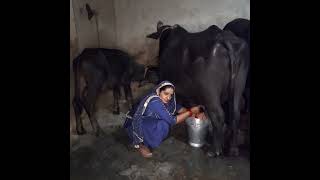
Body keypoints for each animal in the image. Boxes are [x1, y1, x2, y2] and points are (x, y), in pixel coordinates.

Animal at [146, 20, 249, 156]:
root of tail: (225, 39)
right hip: (238, 87)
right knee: (235, 114)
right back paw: (233, 148)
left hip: (210, 94)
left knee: (218, 115)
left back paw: (214, 150)